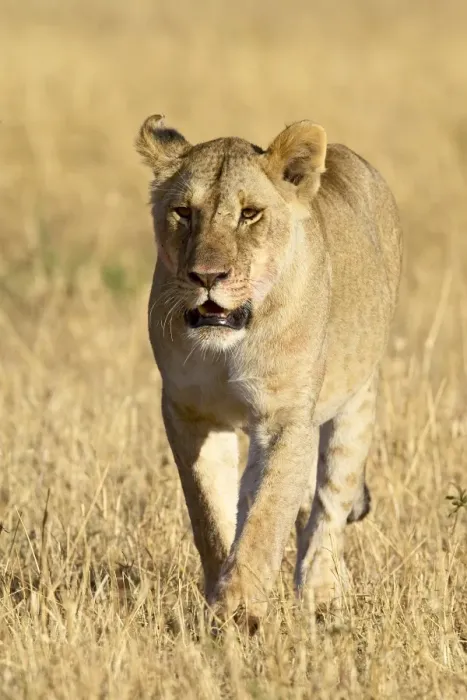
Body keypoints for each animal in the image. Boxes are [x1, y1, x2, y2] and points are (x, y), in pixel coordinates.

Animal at [136, 114, 402, 630]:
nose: (207, 277)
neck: (229, 345)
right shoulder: (189, 413)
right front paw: (223, 597)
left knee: (328, 506)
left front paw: (238, 609)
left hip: (356, 400)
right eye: (184, 212)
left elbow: (265, 517)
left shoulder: (285, 418)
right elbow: (211, 513)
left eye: (249, 214)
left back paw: (323, 596)